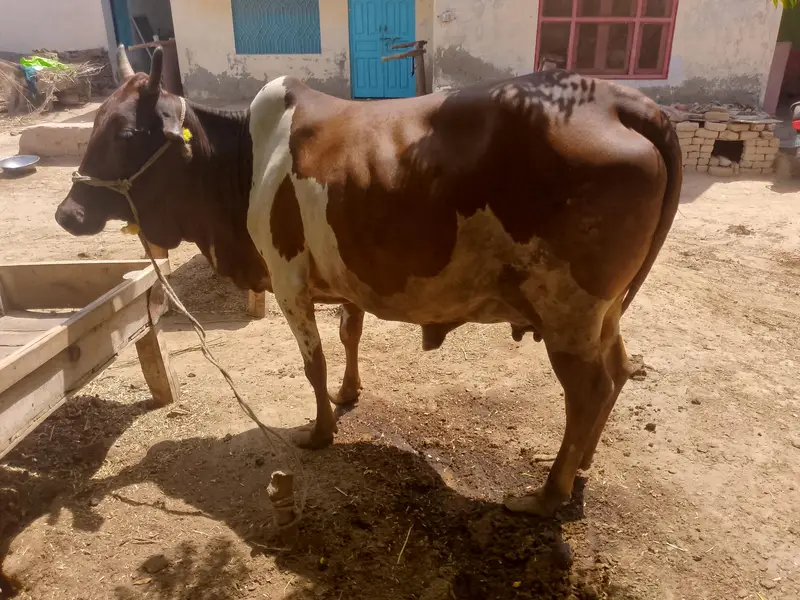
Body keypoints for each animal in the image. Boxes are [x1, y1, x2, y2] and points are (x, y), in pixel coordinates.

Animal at [56, 46, 682, 517]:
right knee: (619, 370)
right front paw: (348, 394)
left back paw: (547, 493)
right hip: (602, 313)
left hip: (567, 311)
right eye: (96, 125)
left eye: (127, 132)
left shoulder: (288, 279)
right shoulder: (342, 279)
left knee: (589, 391)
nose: (68, 212)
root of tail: (621, 100)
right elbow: (348, 336)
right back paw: (581, 468)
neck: (243, 164)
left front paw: (319, 431)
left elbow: (312, 362)